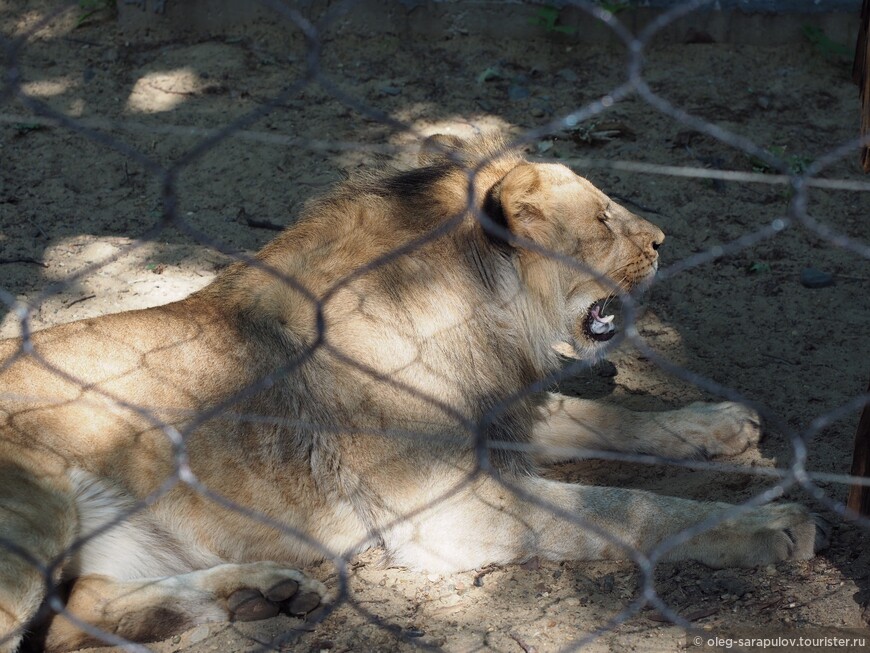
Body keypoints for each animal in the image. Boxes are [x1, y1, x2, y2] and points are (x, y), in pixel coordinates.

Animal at [0, 134, 828, 652]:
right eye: (601, 218)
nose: (660, 239)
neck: (486, 321)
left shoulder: (505, 413)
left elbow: (613, 418)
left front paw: (720, 422)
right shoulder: (449, 511)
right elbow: (629, 506)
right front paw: (770, 523)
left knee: (76, 617)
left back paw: (255, 595)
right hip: (35, 514)